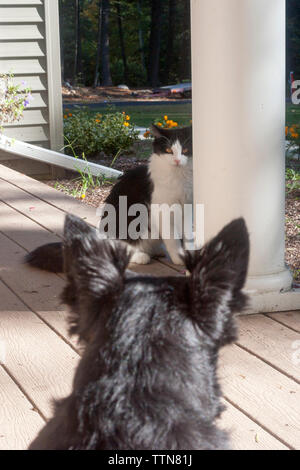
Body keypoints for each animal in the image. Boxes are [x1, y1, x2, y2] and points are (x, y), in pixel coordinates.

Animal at [24, 125, 193, 272]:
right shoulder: (163, 210)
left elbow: (187, 236)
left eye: (185, 150)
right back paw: (142, 256)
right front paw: (179, 258)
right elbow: (173, 239)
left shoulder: (187, 207)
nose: (177, 160)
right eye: (168, 150)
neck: (180, 177)